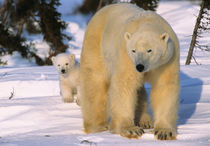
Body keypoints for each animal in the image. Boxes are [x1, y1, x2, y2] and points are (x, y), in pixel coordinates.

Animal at [79, 3, 180, 140]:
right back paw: (96, 126)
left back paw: (144, 121)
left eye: (149, 50)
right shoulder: (126, 55)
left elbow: (164, 86)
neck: (148, 22)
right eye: (133, 50)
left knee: (139, 90)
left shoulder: (167, 60)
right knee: (95, 82)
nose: (140, 66)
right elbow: (125, 84)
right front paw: (131, 130)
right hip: (96, 45)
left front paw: (164, 131)